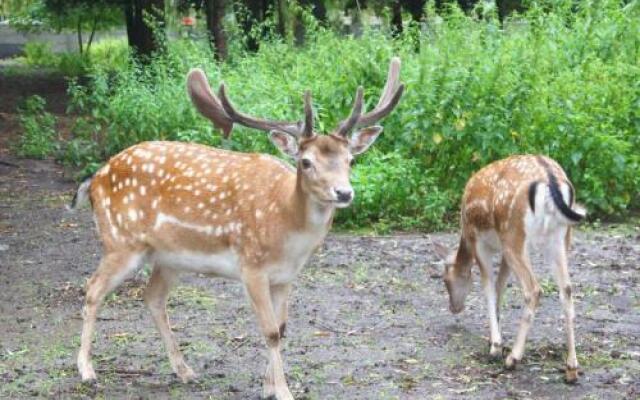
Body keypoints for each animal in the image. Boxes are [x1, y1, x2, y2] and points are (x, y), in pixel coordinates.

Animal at [72, 57, 402, 398]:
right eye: (306, 161)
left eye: (351, 160)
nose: (344, 193)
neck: (286, 227)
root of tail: (94, 179)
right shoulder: (251, 266)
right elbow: (270, 332)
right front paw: (283, 391)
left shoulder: (286, 277)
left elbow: (282, 329)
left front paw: (268, 386)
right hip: (120, 241)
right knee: (92, 289)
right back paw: (87, 370)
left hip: (169, 257)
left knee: (152, 297)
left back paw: (184, 370)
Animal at [436, 155, 584, 382]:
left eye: (445, 280)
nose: (454, 308)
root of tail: (550, 179)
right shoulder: (504, 253)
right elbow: (500, 286)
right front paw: (493, 338)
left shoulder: (478, 241)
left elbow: (488, 287)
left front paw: (495, 346)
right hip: (560, 236)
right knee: (566, 289)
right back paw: (571, 368)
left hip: (513, 233)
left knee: (534, 289)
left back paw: (513, 358)